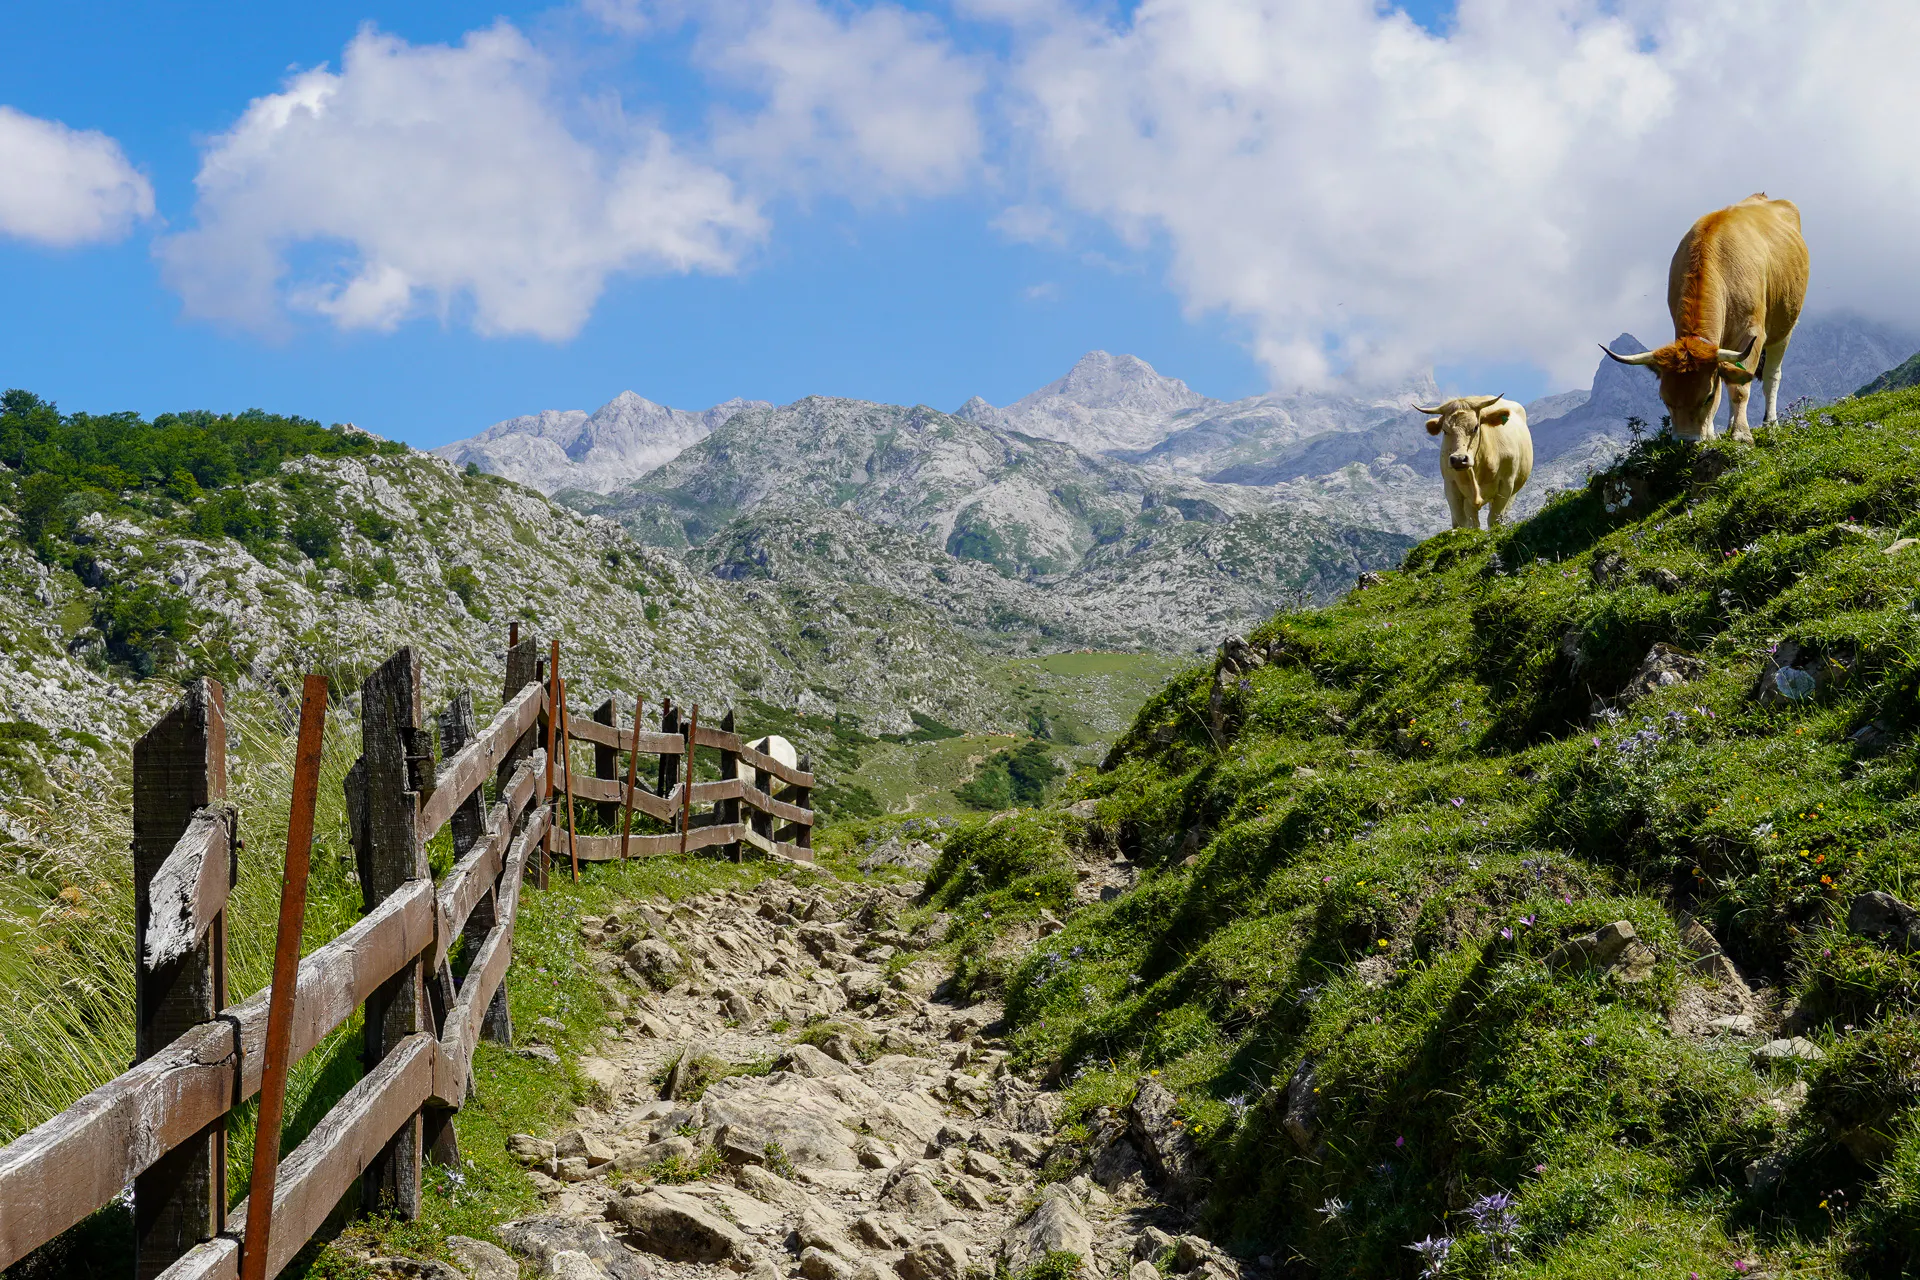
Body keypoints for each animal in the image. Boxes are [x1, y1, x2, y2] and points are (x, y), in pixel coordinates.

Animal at [1413, 394, 1533, 530]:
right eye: (1445, 430)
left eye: (1476, 427)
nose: (1459, 459)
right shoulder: (1451, 486)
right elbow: (1464, 523)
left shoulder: (1506, 484)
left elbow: (1494, 520)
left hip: (1513, 492)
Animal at [1602, 194, 1809, 443]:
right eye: (1664, 399)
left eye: (1708, 396)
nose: (1687, 440)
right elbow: (1729, 381)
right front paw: (1714, 432)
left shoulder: (1752, 334)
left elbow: (1740, 388)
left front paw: (1741, 434)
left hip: (1784, 329)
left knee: (1771, 377)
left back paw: (1770, 424)